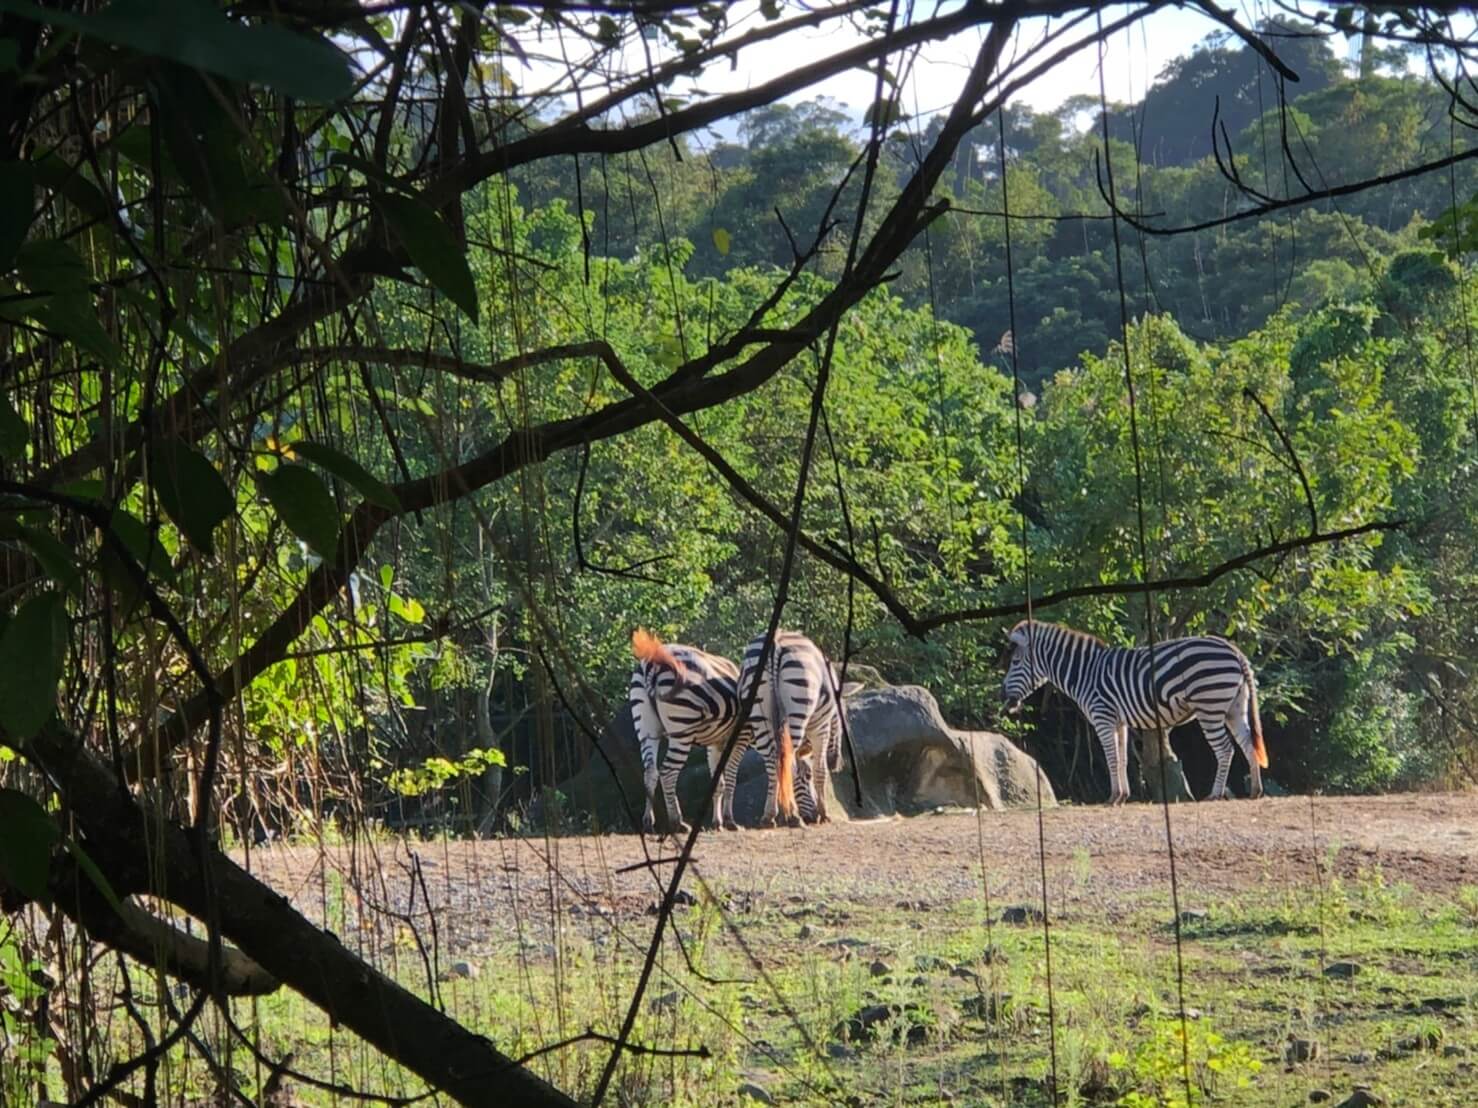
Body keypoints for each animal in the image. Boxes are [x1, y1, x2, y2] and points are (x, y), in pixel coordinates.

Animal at [628, 629, 834, 833]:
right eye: (807, 777)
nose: (813, 817)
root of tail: (652, 664)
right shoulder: (741, 737)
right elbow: (732, 776)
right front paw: (730, 821)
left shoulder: (715, 743)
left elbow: (718, 782)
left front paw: (718, 822)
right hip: (682, 726)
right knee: (668, 772)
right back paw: (677, 822)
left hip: (645, 727)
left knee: (650, 772)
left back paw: (648, 822)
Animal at [730, 629, 860, 828]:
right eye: (840, 715)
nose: (836, 762)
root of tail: (776, 641)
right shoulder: (821, 728)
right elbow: (820, 770)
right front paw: (824, 814)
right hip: (798, 705)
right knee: (787, 760)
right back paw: (792, 816)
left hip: (759, 712)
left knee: (772, 760)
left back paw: (770, 816)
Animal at [1000, 619, 1267, 804]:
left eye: (1015, 663)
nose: (1003, 697)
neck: (1084, 672)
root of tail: (1234, 650)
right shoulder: (1120, 721)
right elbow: (1122, 757)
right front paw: (1122, 796)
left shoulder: (1103, 717)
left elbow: (1111, 757)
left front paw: (1113, 797)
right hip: (1234, 708)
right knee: (1247, 744)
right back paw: (1255, 791)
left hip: (1209, 705)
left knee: (1225, 749)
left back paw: (1215, 794)